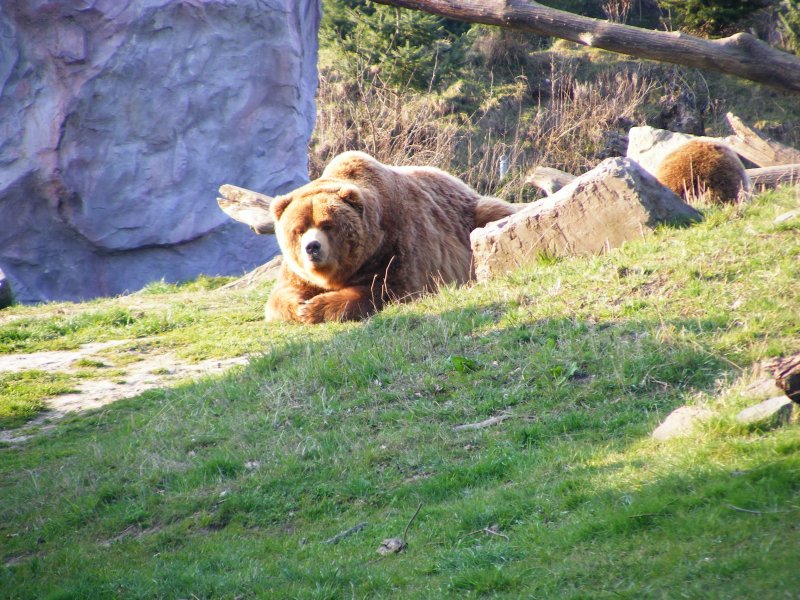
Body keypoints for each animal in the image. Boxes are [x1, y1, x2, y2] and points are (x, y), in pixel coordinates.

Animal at [264, 152, 520, 326]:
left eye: (327, 225)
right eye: (299, 229)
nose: (312, 247)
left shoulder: (397, 243)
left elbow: (389, 289)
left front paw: (316, 307)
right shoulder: (298, 272)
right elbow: (280, 295)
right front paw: (301, 306)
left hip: (471, 216)